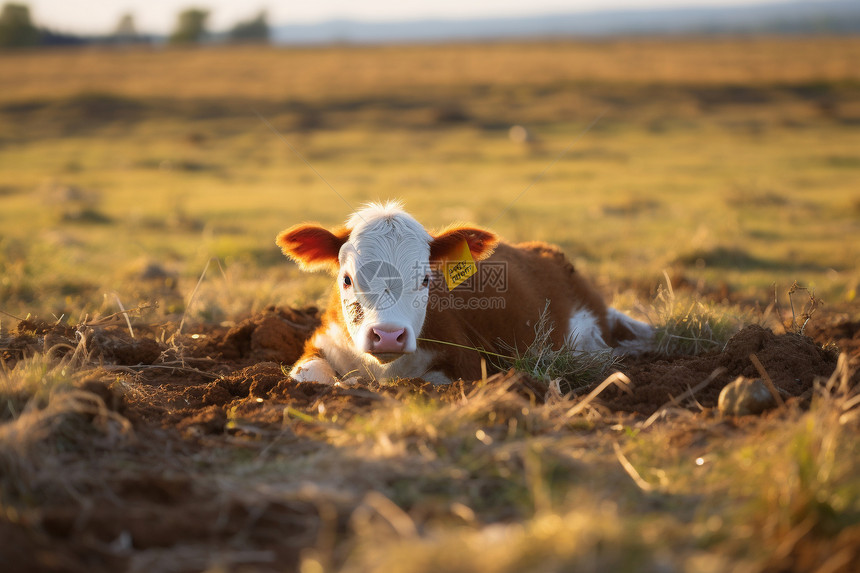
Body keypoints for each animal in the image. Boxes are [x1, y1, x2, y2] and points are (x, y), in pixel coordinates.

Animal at [278, 201, 652, 384]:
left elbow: (428, 382)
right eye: (346, 279)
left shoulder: (468, 364)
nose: (388, 336)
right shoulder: (319, 344)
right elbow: (308, 377)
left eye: (426, 279)